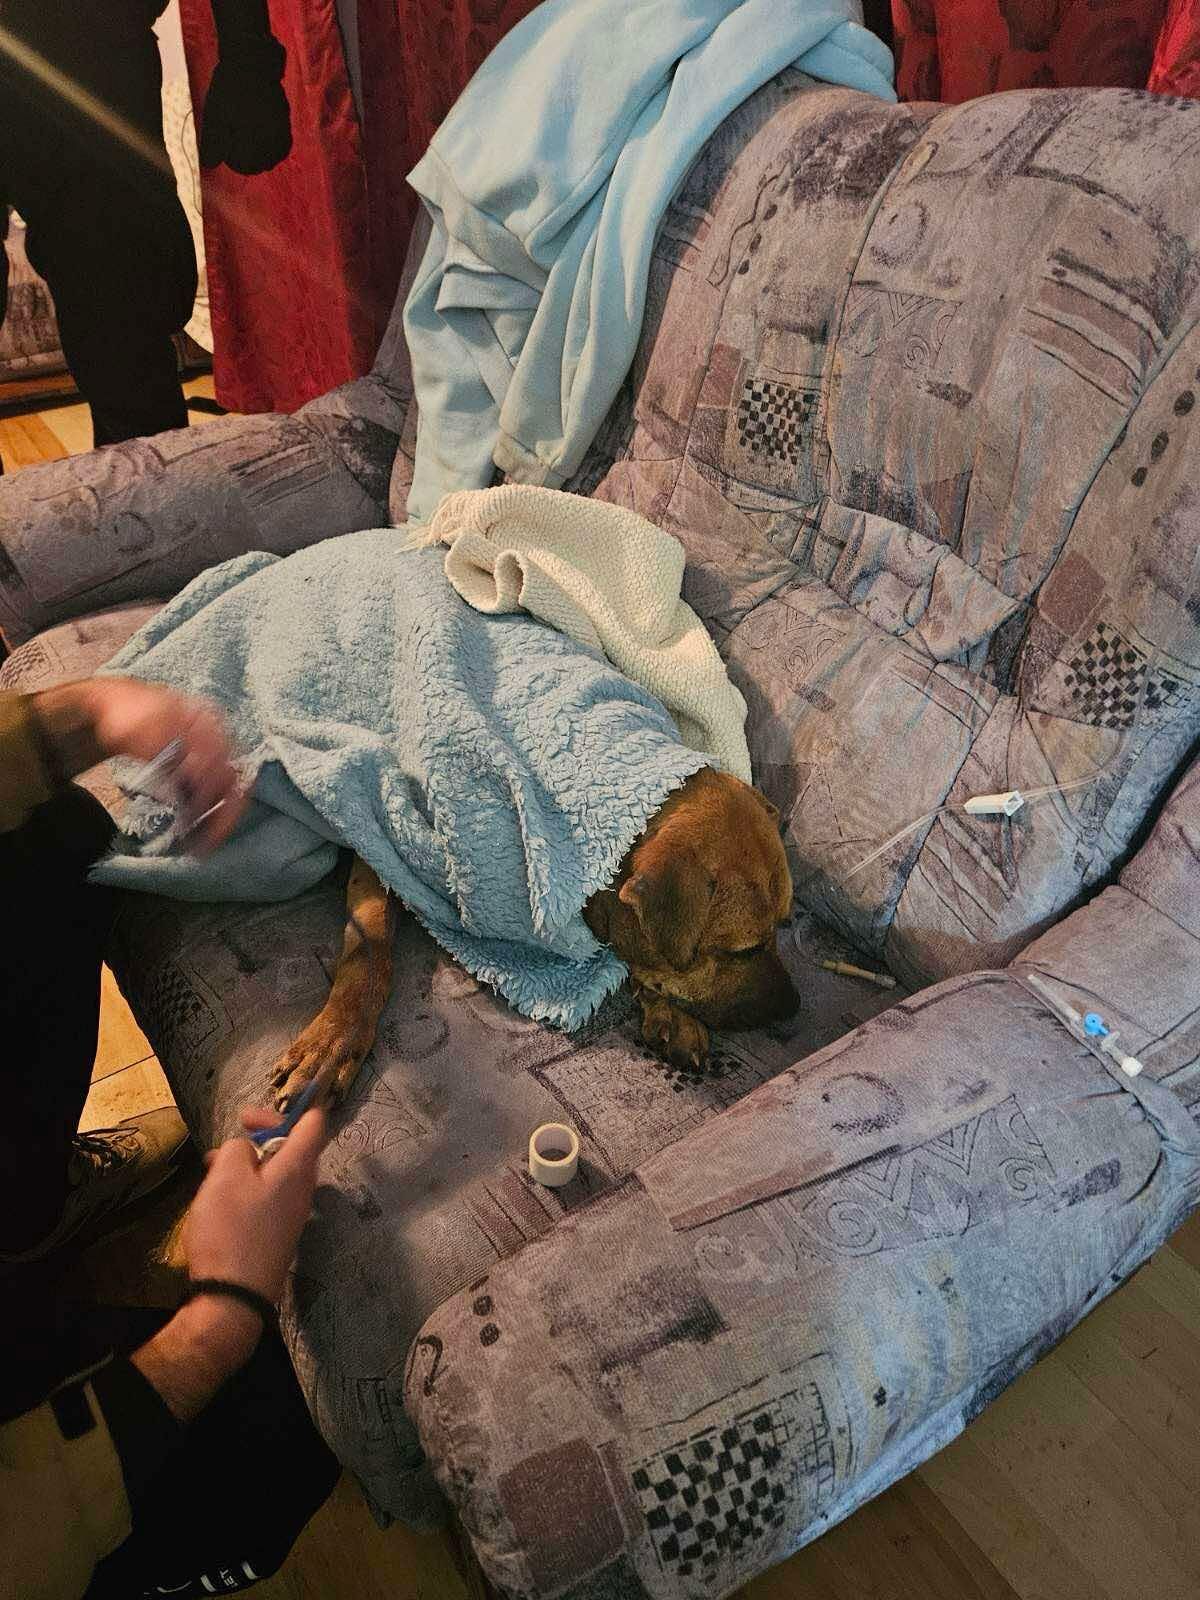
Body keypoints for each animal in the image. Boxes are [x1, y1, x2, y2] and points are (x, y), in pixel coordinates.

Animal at [269, 765, 798, 1110]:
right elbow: (370, 950)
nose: (793, 1008)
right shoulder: (380, 845)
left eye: (786, 923)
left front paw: (670, 1012)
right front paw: (333, 1040)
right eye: (745, 948)